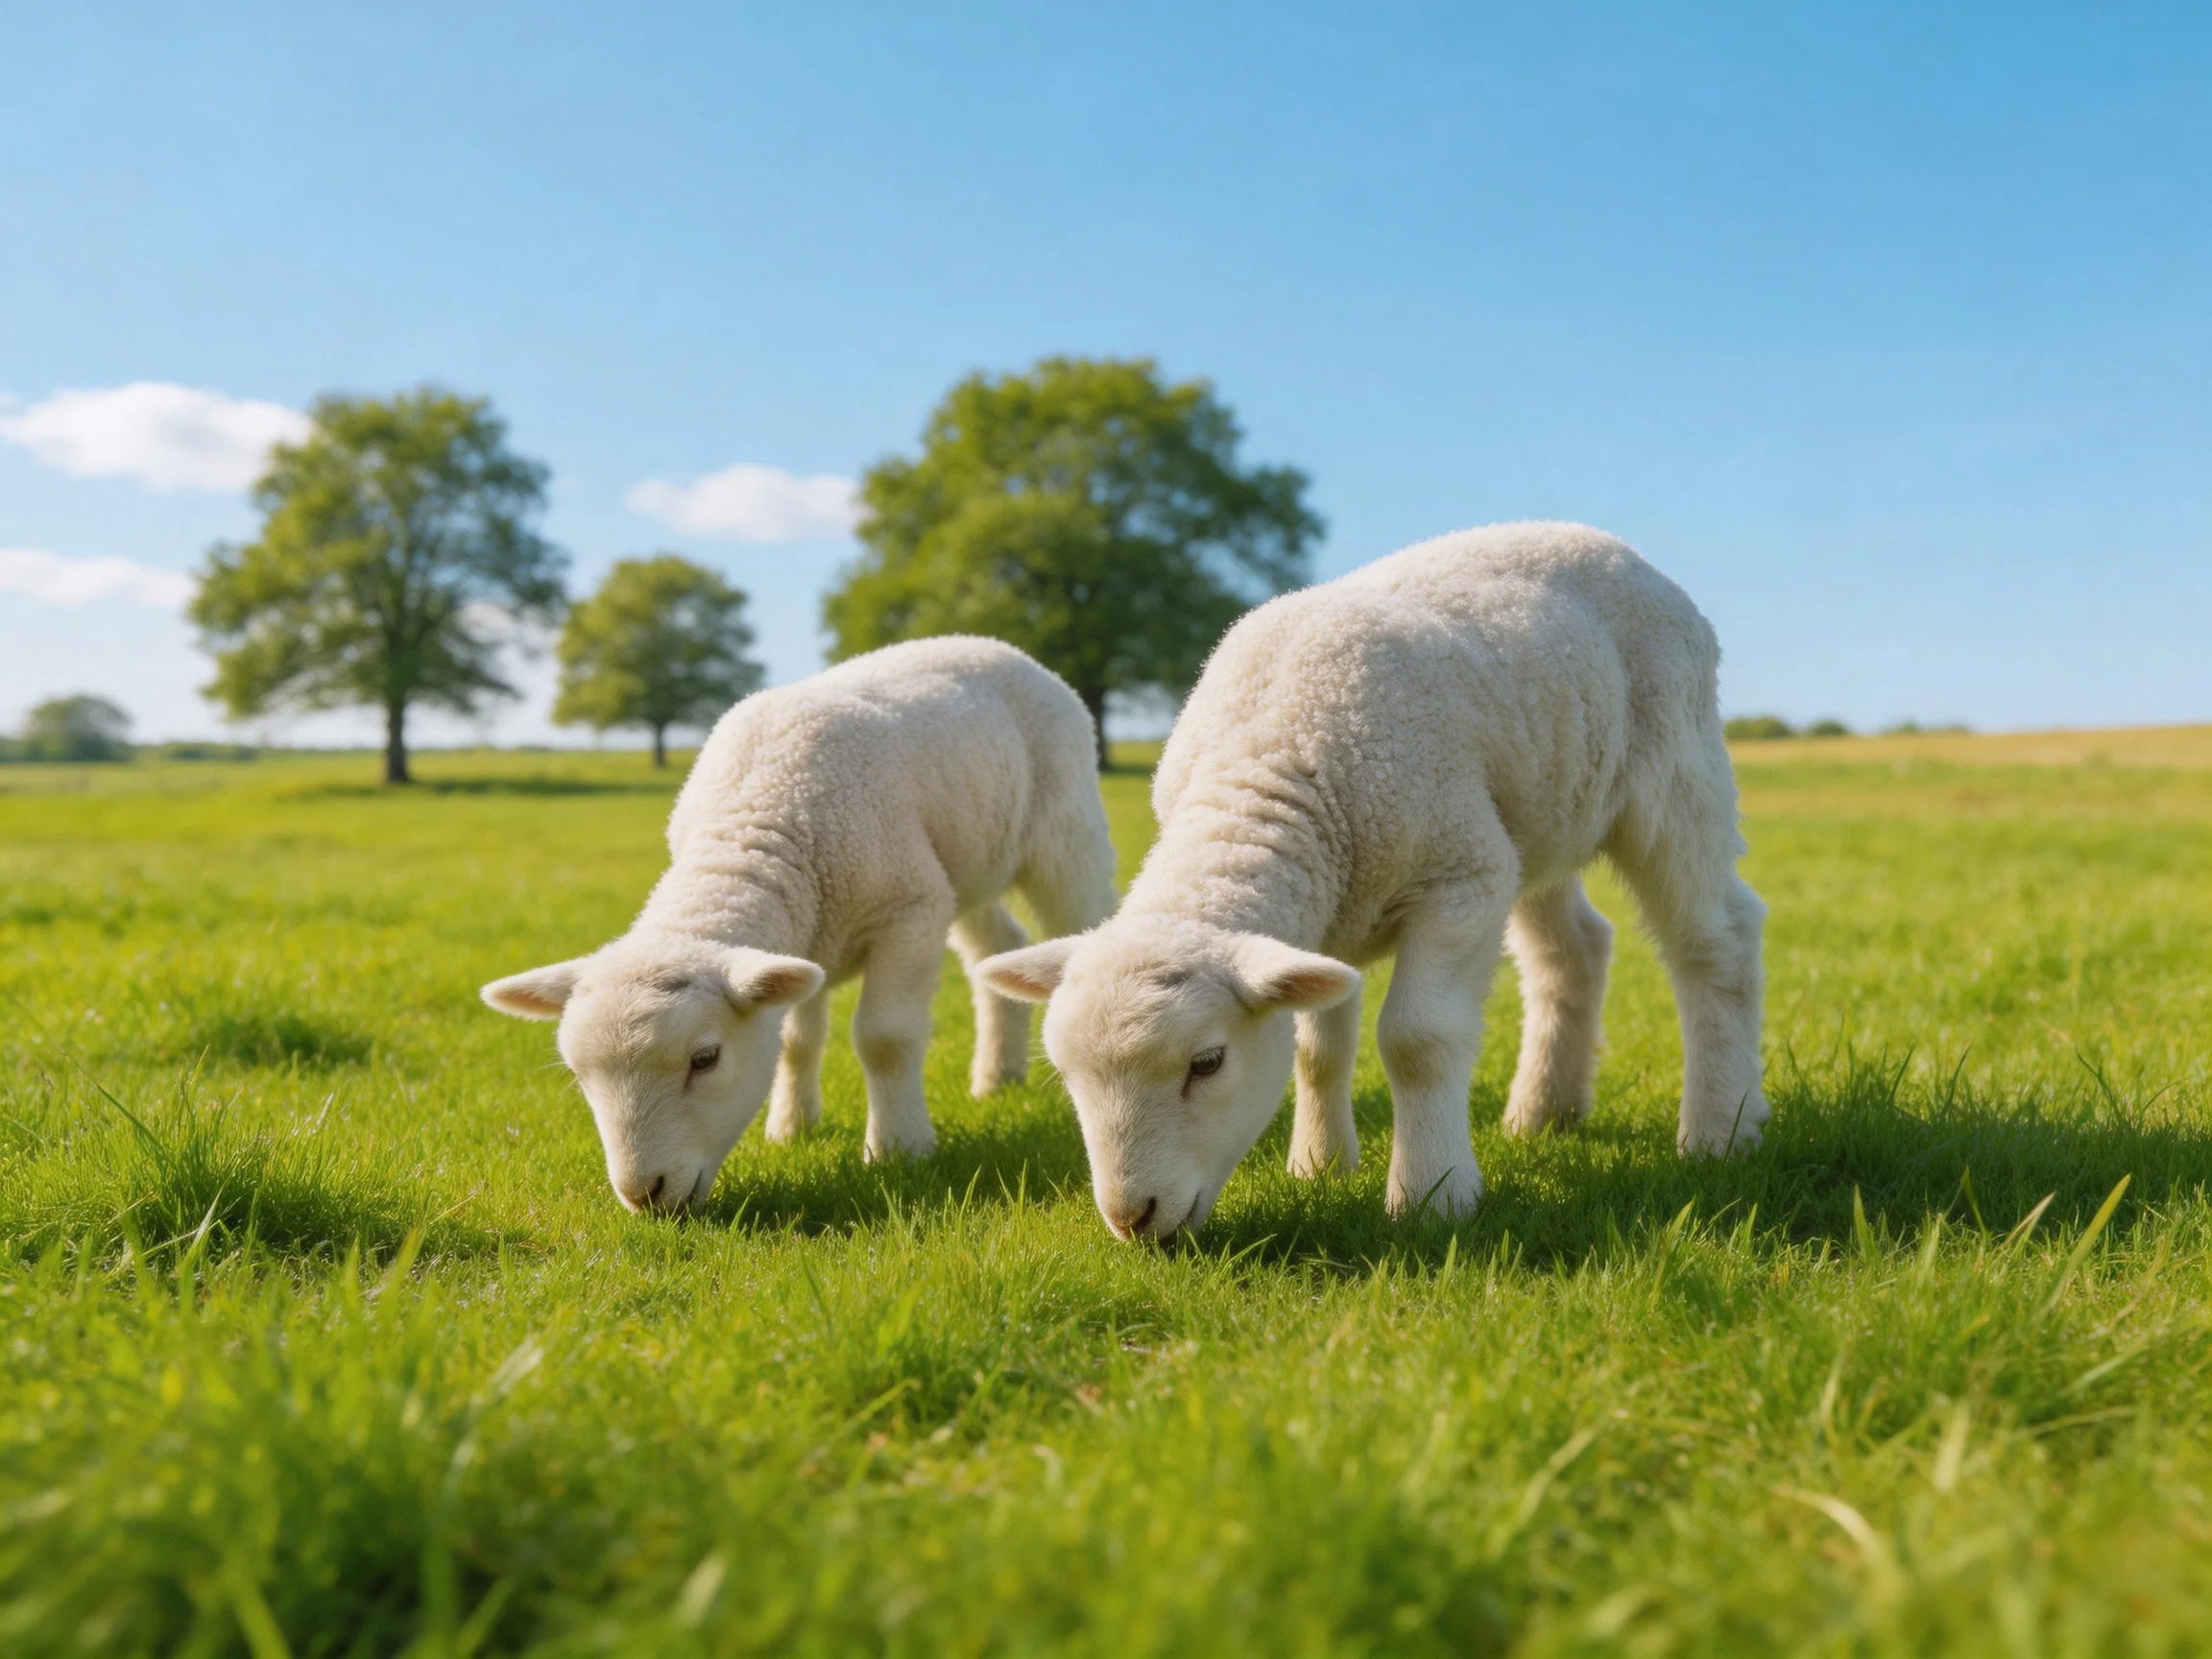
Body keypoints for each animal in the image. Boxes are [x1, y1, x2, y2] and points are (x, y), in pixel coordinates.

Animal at [481, 636, 1120, 1213]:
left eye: (704, 1059)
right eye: (577, 1074)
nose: (644, 1194)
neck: (752, 825)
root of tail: (993, 644)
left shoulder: (909, 910)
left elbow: (886, 1038)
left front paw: (898, 1149)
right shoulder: (807, 934)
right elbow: (794, 1042)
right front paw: (791, 1130)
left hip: (1066, 833)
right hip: (964, 865)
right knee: (999, 946)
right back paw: (996, 1079)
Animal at [978, 522, 1767, 1240]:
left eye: (1207, 1062)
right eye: (1067, 1076)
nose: (1131, 1218)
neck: (1265, 763)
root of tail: (1606, 541)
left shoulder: (1459, 877)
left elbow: (1418, 1041)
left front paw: (1431, 1196)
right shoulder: (1328, 915)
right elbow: (1316, 1049)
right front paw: (1320, 1165)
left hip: (1673, 770)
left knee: (1717, 939)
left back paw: (1721, 1129)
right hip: (1534, 815)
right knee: (1574, 948)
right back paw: (1545, 1111)